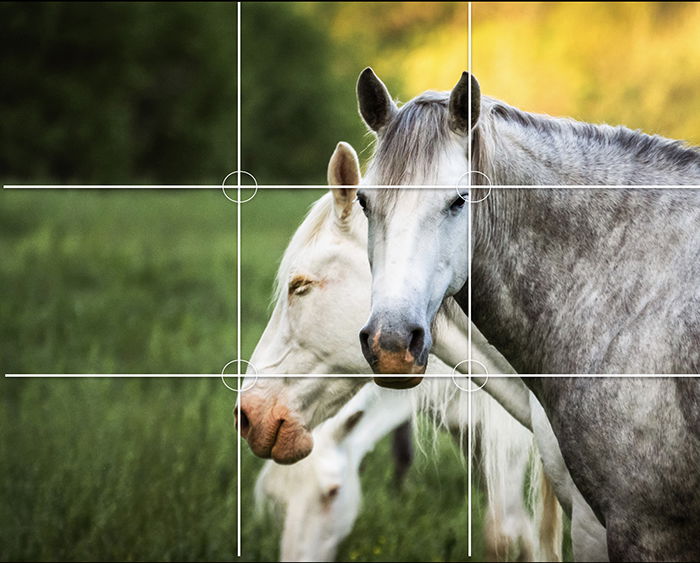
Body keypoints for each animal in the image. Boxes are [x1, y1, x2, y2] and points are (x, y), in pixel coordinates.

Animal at [241, 144, 564, 563]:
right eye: (279, 502)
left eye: (300, 285)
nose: (248, 413)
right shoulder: (471, 432)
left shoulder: (508, 437)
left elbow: (510, 535)